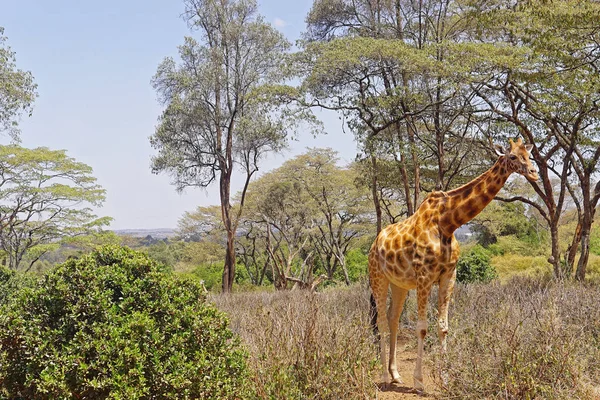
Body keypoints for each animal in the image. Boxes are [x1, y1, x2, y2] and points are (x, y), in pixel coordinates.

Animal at [368, 138, 540, 390]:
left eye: (528, 154)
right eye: (512, 156)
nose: (534, 173)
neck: (447, 222)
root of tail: (374, 243)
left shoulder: (449, 275)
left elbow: (443, 327)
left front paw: (446, 378)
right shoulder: (424, 277)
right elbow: (422, 327)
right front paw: (419, 382)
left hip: (399, 284)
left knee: (393, 319)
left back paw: (396, 375)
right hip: (378, 277)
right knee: (380, 321)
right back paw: (383, 377)